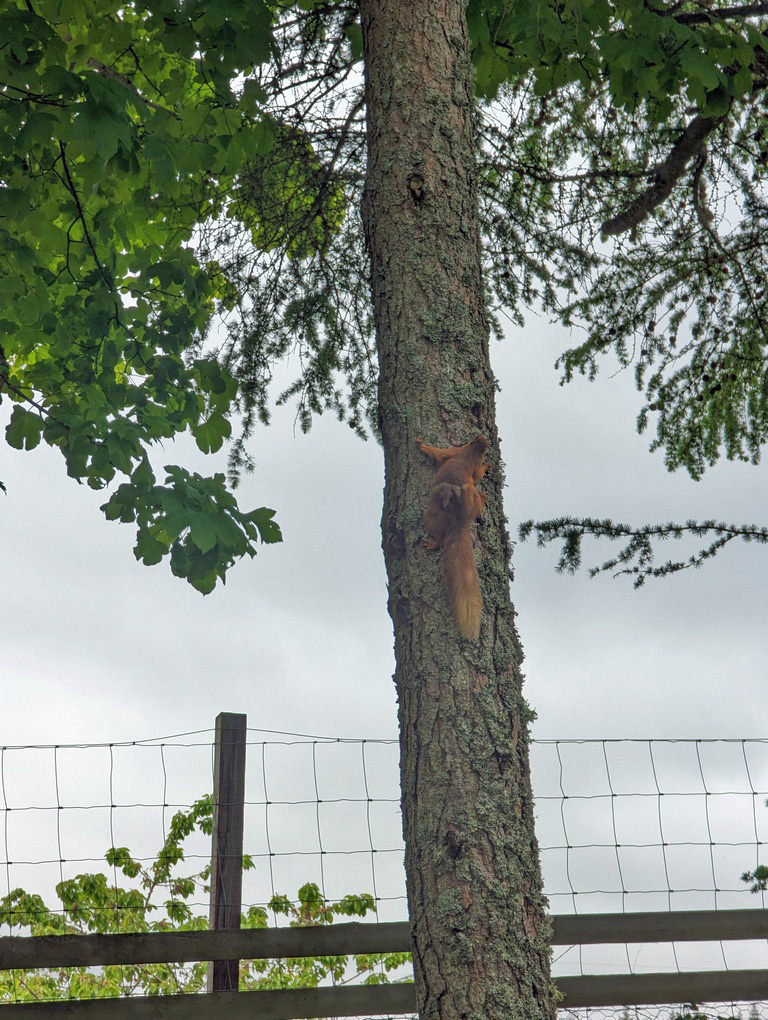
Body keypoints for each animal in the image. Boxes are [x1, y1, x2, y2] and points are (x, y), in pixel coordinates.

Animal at [416, 434, 490, 641]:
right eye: (483, 441)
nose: (480, 435)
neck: (470, 454)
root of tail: (459, 519)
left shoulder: (451, 452)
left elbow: (436, 453)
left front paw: (421, 444)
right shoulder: (471, 465)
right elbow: (478, 474)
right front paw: (487, 466)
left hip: (431, 517)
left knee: (439, 535)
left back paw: (432, 543)